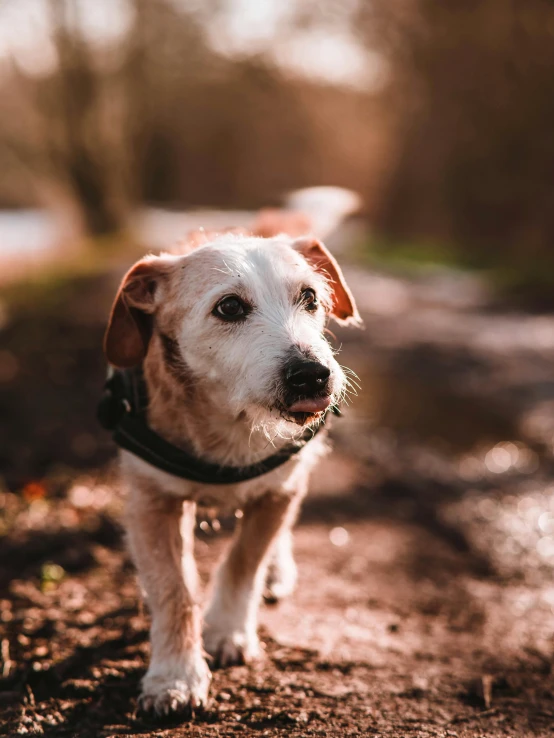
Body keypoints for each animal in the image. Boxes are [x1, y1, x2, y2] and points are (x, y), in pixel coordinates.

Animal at [102, 188, 362, 712]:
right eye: (229, 308)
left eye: (310, 297)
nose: (313, 374)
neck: (232, 422)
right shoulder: (153, 502)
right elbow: (174, 587)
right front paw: (175, 675)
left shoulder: (277, 492)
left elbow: (246, 560)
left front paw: (227, 632)